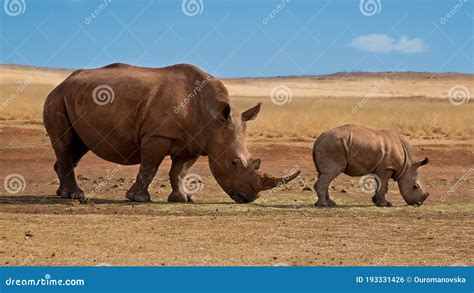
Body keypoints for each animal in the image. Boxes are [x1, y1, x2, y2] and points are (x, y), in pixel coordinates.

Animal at [42, 62, 298, 202]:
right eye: (234, 163)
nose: (251, 198)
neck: (212, 117)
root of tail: (62, 83)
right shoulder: (157, 135)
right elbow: (149, 167)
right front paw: (138, 198)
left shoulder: (194, 141)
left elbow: (180, 172)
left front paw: (184, 199)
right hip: (57, 98)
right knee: (66, 144)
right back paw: (77, 196)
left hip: (71, 97)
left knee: (76, 147)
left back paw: (62, 193)